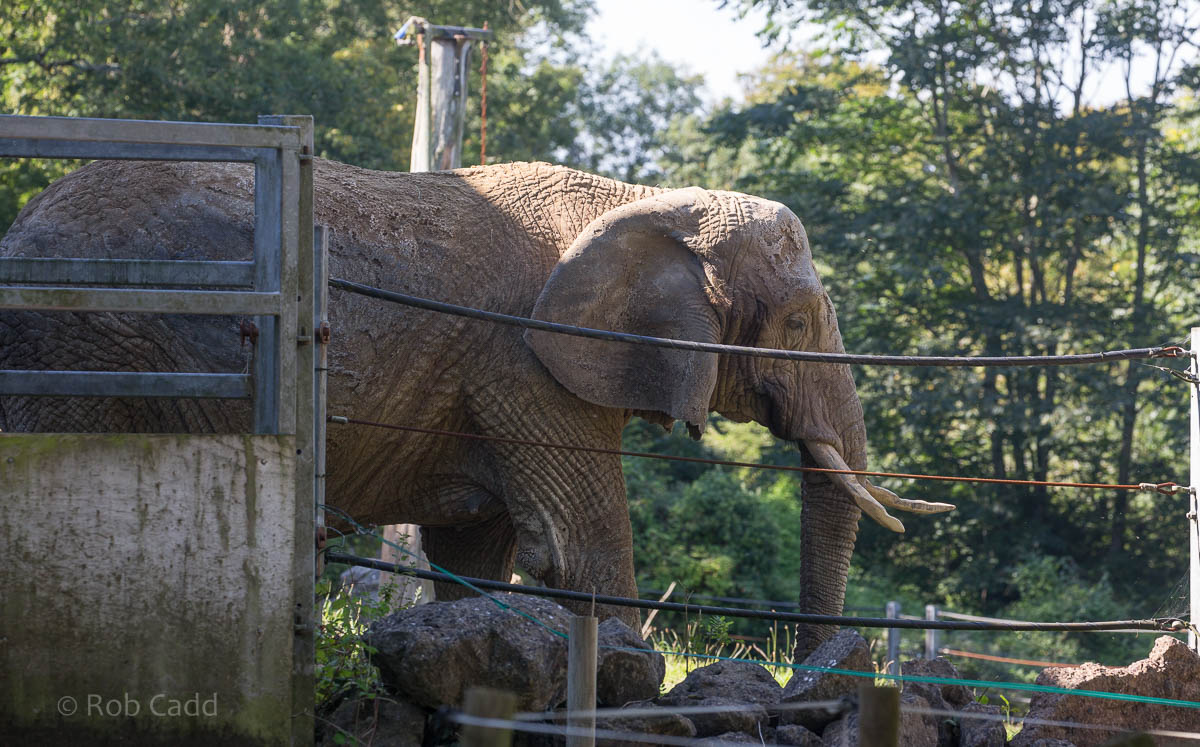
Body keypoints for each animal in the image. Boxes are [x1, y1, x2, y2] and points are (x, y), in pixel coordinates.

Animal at [0, 158, 953, 657]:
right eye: (796, 321)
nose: (817, 665)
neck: (640, 199)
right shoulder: (527, 362)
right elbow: (580, 550)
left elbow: (476, 557)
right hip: (93, 351)